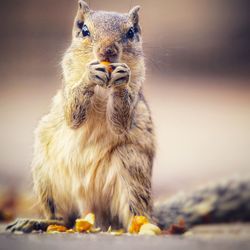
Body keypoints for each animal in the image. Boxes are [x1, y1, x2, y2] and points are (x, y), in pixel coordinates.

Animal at [6, 0, 250, 233]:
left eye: (131, 32)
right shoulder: (68, 81)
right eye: (84, 30)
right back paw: (36, 222)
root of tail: (91, 216)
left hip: (131, 165)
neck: (104, 86)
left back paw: (143, 227)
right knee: (62, 219)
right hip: (45, 176)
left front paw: (121, 80)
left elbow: (121, 121)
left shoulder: (136, 86)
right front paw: (89, 75)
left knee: (133, 215)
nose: (107, 51)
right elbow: (72, 115)